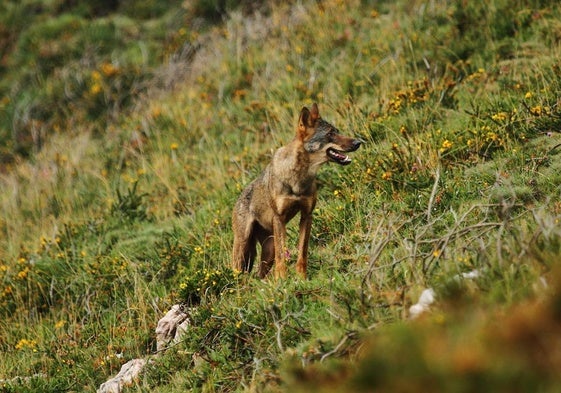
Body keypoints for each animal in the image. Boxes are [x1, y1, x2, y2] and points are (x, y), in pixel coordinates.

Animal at [230, 102, 360, 278]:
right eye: (331, 133)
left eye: (337, 131)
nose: (358, 142)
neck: (298, 177)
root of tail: (239, 198)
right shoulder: (279, 218)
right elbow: (282, 256)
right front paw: (282, 279)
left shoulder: (307, 215)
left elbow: (302, 253)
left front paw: (301, 278)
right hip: (242, 250)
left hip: (267, 252)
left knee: (259, 275)